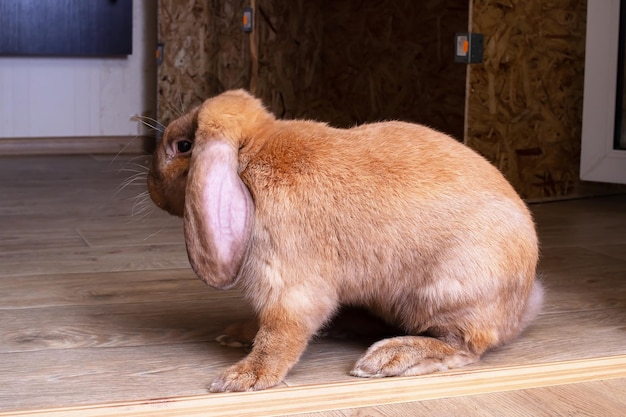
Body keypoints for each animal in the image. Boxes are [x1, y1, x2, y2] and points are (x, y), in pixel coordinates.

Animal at [146, 89, 540, 392]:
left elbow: (280, 334)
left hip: (449, 293)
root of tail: (522, 307)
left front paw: (243, 378)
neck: (251, 156)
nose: (150, 187)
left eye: (183, 146)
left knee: (465, 345)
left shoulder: (290, 283)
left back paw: (387, 358)